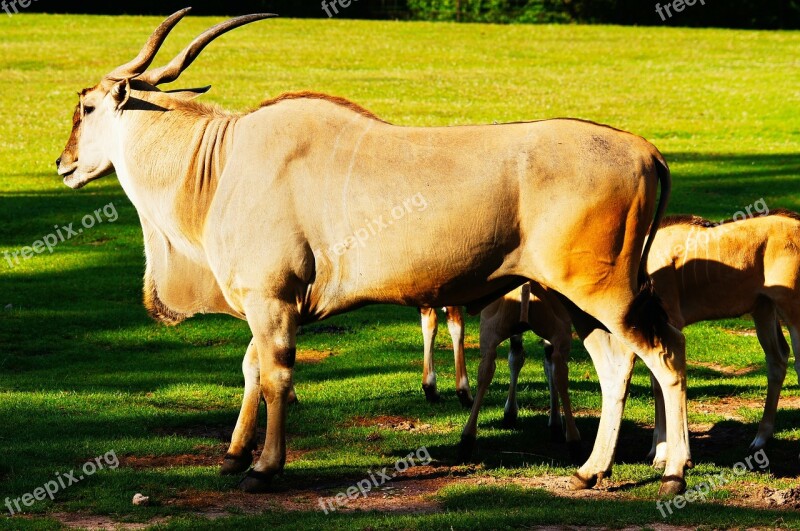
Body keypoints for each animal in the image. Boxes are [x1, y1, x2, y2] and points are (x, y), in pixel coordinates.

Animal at [56, 8, 692, 494]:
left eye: (86, 107)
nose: (63, 165)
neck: (220, 160)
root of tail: (645, 150)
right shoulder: (268, 304)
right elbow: (250, 368)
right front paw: (234, 456)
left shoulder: (272, 299)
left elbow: (274, 375)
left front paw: (264, 468)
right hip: (583, 303)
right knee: (618, 366)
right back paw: (590, 470)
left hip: (602, 293)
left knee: (661, 356)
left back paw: (673, 473)